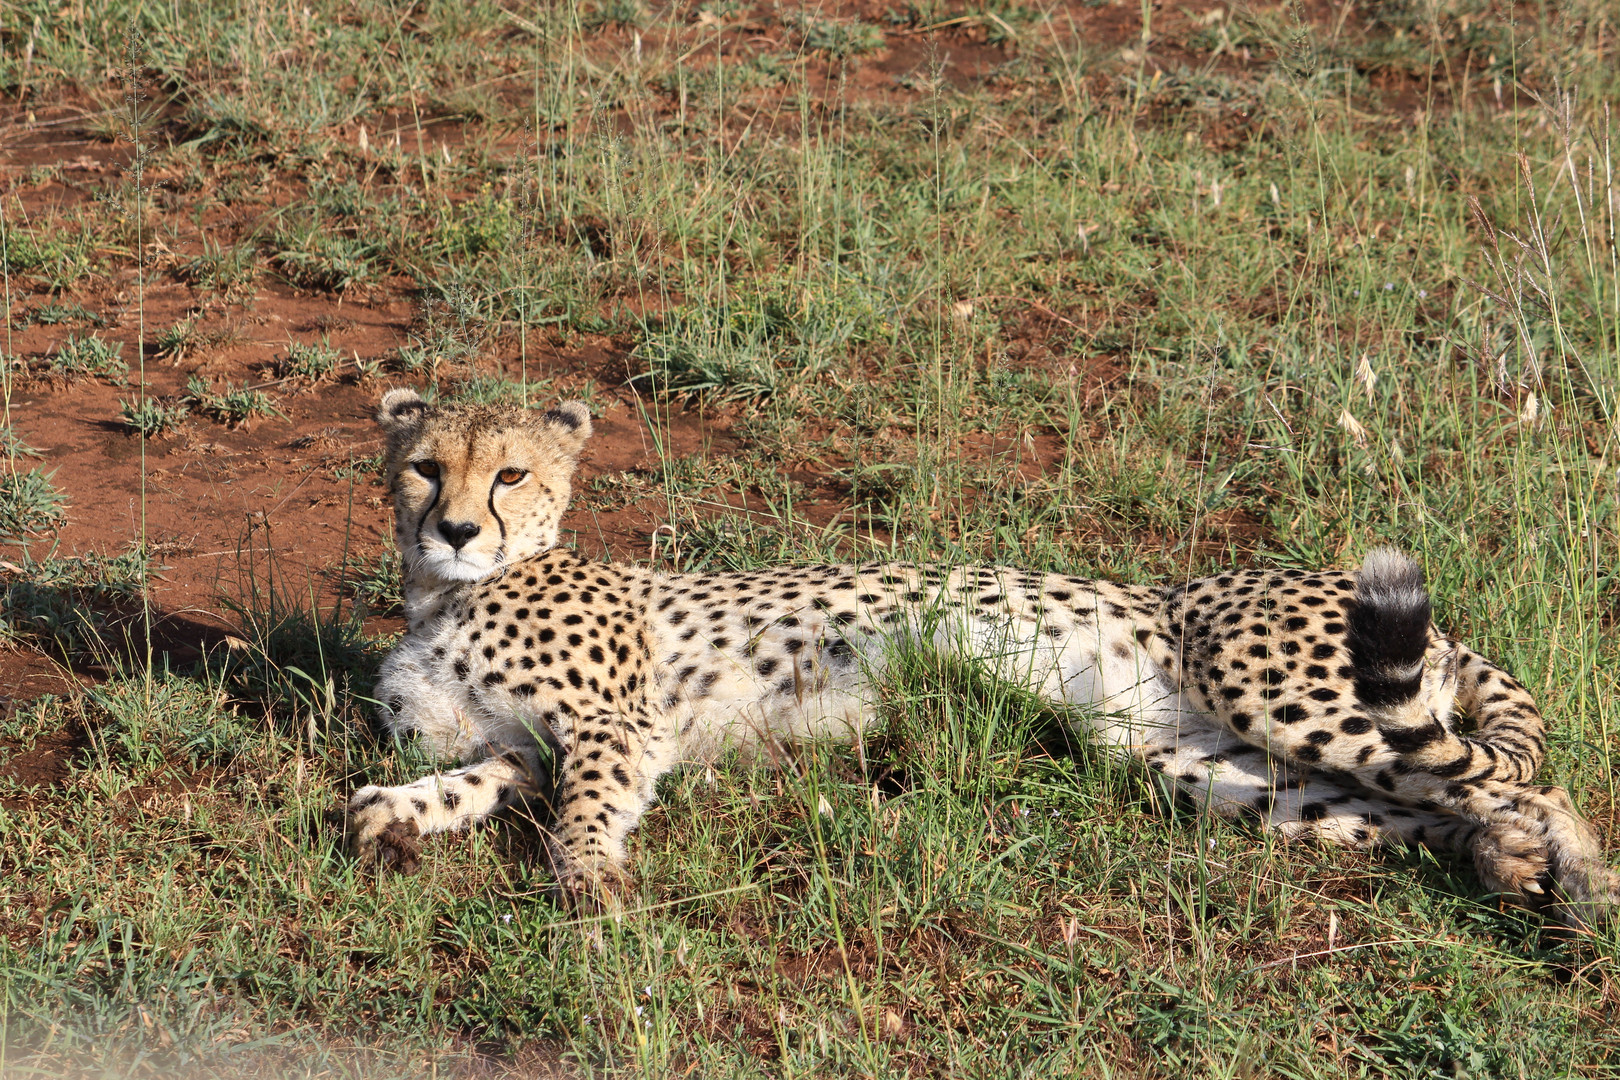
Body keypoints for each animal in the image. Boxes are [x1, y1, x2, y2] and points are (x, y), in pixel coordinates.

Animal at [345, 388, 1620, 932]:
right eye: (425, 467)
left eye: (510, 473)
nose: (453, 527)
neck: (447, 597)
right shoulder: (516, 744)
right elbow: (460, 781)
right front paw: (395, 817)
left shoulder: (616, 728)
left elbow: (586, 807)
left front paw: (588, 881)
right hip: (1205, 767)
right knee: (1433, 799)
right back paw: (1511, 866)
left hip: (1277, 686)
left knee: (1535, 782)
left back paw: (1586, 893)